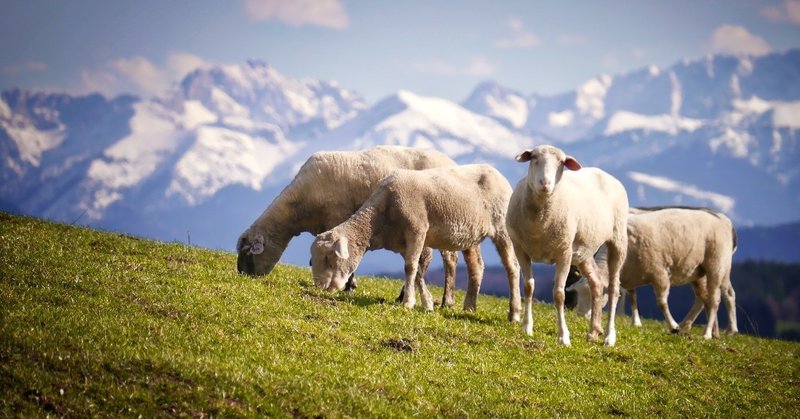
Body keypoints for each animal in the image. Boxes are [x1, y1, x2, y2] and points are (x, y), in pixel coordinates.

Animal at [234, 146, 478, 310]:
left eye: (248, 253)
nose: (243, 276)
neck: (298, 207)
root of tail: (452, 162)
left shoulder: (338, 216)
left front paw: (350, 285)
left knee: (448, 260)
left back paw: (445, 300)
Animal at [310, 164, 520, 322]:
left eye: (330, 258)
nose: (320, 286)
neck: (380, 218)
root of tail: (498, 174)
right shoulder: (403, 242)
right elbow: (417, 269)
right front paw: (427, 303)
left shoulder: (417, 230)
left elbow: (410, 267)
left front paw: (408, 302)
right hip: (471, 234)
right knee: (476, 266)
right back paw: (469, 306)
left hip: (502, 228)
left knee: (512, 267)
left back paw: (514, 313)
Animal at [506, 144, 632, 348]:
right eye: (533, 158)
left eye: (561, 163)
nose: (545, 183)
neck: (539, 223)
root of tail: (604, 173)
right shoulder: (520, 249)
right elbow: (528, 287)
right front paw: (527, 327)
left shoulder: (564, 253)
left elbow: (559, 294)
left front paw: (563, 336)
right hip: (584, 251)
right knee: (597, 284)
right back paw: (593, 332)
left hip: (618, 240)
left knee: (613, 289)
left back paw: (609, 336)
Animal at [568, 205, 736, 340]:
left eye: (594, 296)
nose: (581, 315)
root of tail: (723, 220)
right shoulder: (628, 276)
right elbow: (633, 298)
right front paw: (636, 322)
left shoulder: (659, 272)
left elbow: (661, 302)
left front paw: (673, 326)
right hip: (697, 271)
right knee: (704, 298)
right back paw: (708, 330)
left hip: (717, 265)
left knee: (717, 299)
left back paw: (709, 333)